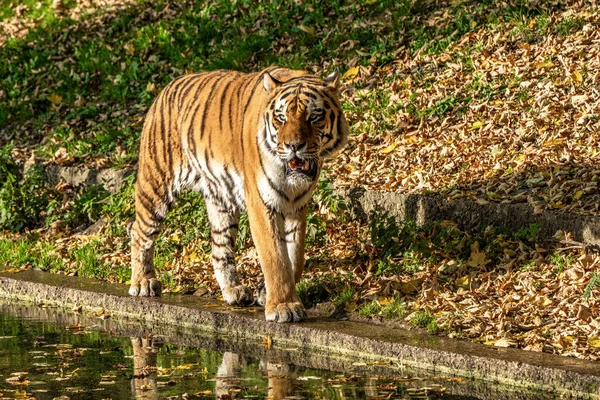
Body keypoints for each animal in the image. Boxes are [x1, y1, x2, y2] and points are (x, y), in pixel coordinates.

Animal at [129, 65, 350, 322]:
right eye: (281, 118)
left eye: (314, 116)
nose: (294, 146)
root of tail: (165, 89)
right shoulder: (262, 204)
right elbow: (275, 257)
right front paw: (283, 307)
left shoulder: (296, 205)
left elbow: (295, 256)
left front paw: (267, 293)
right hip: (156, 184)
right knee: (139, 231)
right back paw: (143, 282)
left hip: (221, 200)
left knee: (219, 250)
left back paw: (234, 291)